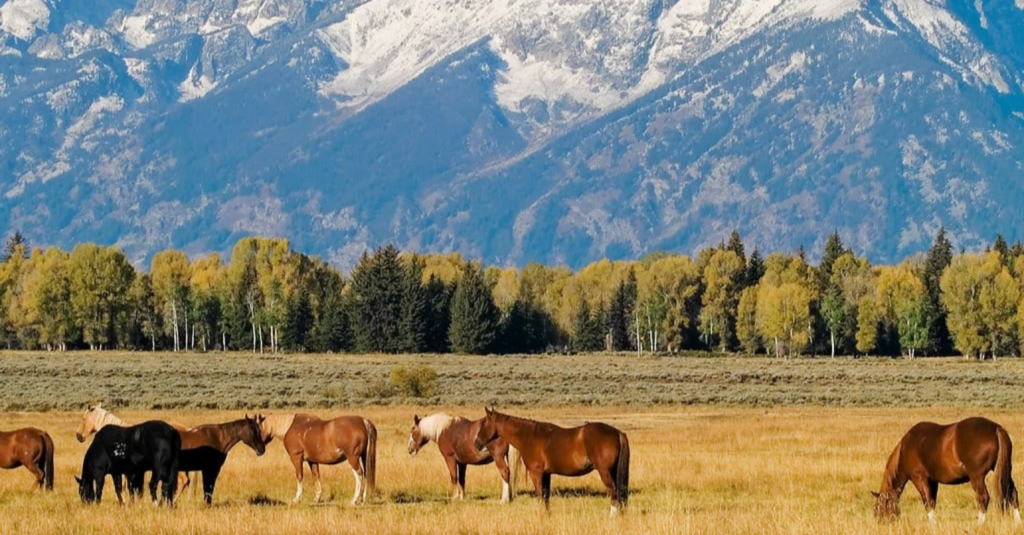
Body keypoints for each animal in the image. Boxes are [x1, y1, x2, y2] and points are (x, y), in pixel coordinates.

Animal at [473, 407, 630, 512]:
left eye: (484, 424)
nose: (476, 443)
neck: (529, 436)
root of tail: (618, 433)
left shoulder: (536, 473)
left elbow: (540, 497)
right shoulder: (546, 474)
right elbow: (546, 498)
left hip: (604, 472)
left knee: (613, 493)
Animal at [872, 414, 1024, 522]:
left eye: (879, 507)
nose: (880, 522)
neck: (907, 447)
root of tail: (996, 428)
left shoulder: (919, 478)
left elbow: (927, 502)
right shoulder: (933, 481)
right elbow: (932, 502)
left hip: (976, 477)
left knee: (983, 498)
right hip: (1005, 472)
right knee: (1013, 495)